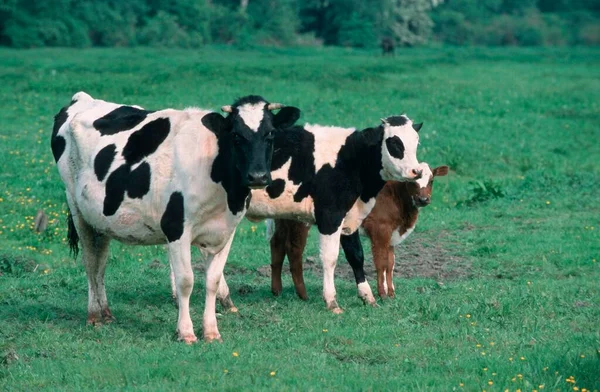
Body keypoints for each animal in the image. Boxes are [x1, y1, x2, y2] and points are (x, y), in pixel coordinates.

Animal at [52, 92, 300, 344]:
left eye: (270, 133)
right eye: (236, 135)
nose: (258, 176)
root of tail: (83, 98)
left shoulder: (226, 231)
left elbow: (212, 280)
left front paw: (211, 331)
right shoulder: (176, 229)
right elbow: (186, 281)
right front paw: (186, 332)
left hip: (101, 219)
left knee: (100, 262)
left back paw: (106, 313)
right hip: (77, 208)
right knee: (90, 262)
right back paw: (94, 315)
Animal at [266, 162, 446, 300]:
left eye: (431, 180)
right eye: (412, 181)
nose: (423, 199)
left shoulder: (391, 235)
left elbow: (390, 264)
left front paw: (391, 293)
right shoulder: (379, 230)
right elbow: (380, 262)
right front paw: (382, 294)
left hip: (283, 218)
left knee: (277, 243)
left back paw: (277, 290)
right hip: (299, 221)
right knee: (294, 249)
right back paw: (303, 295)